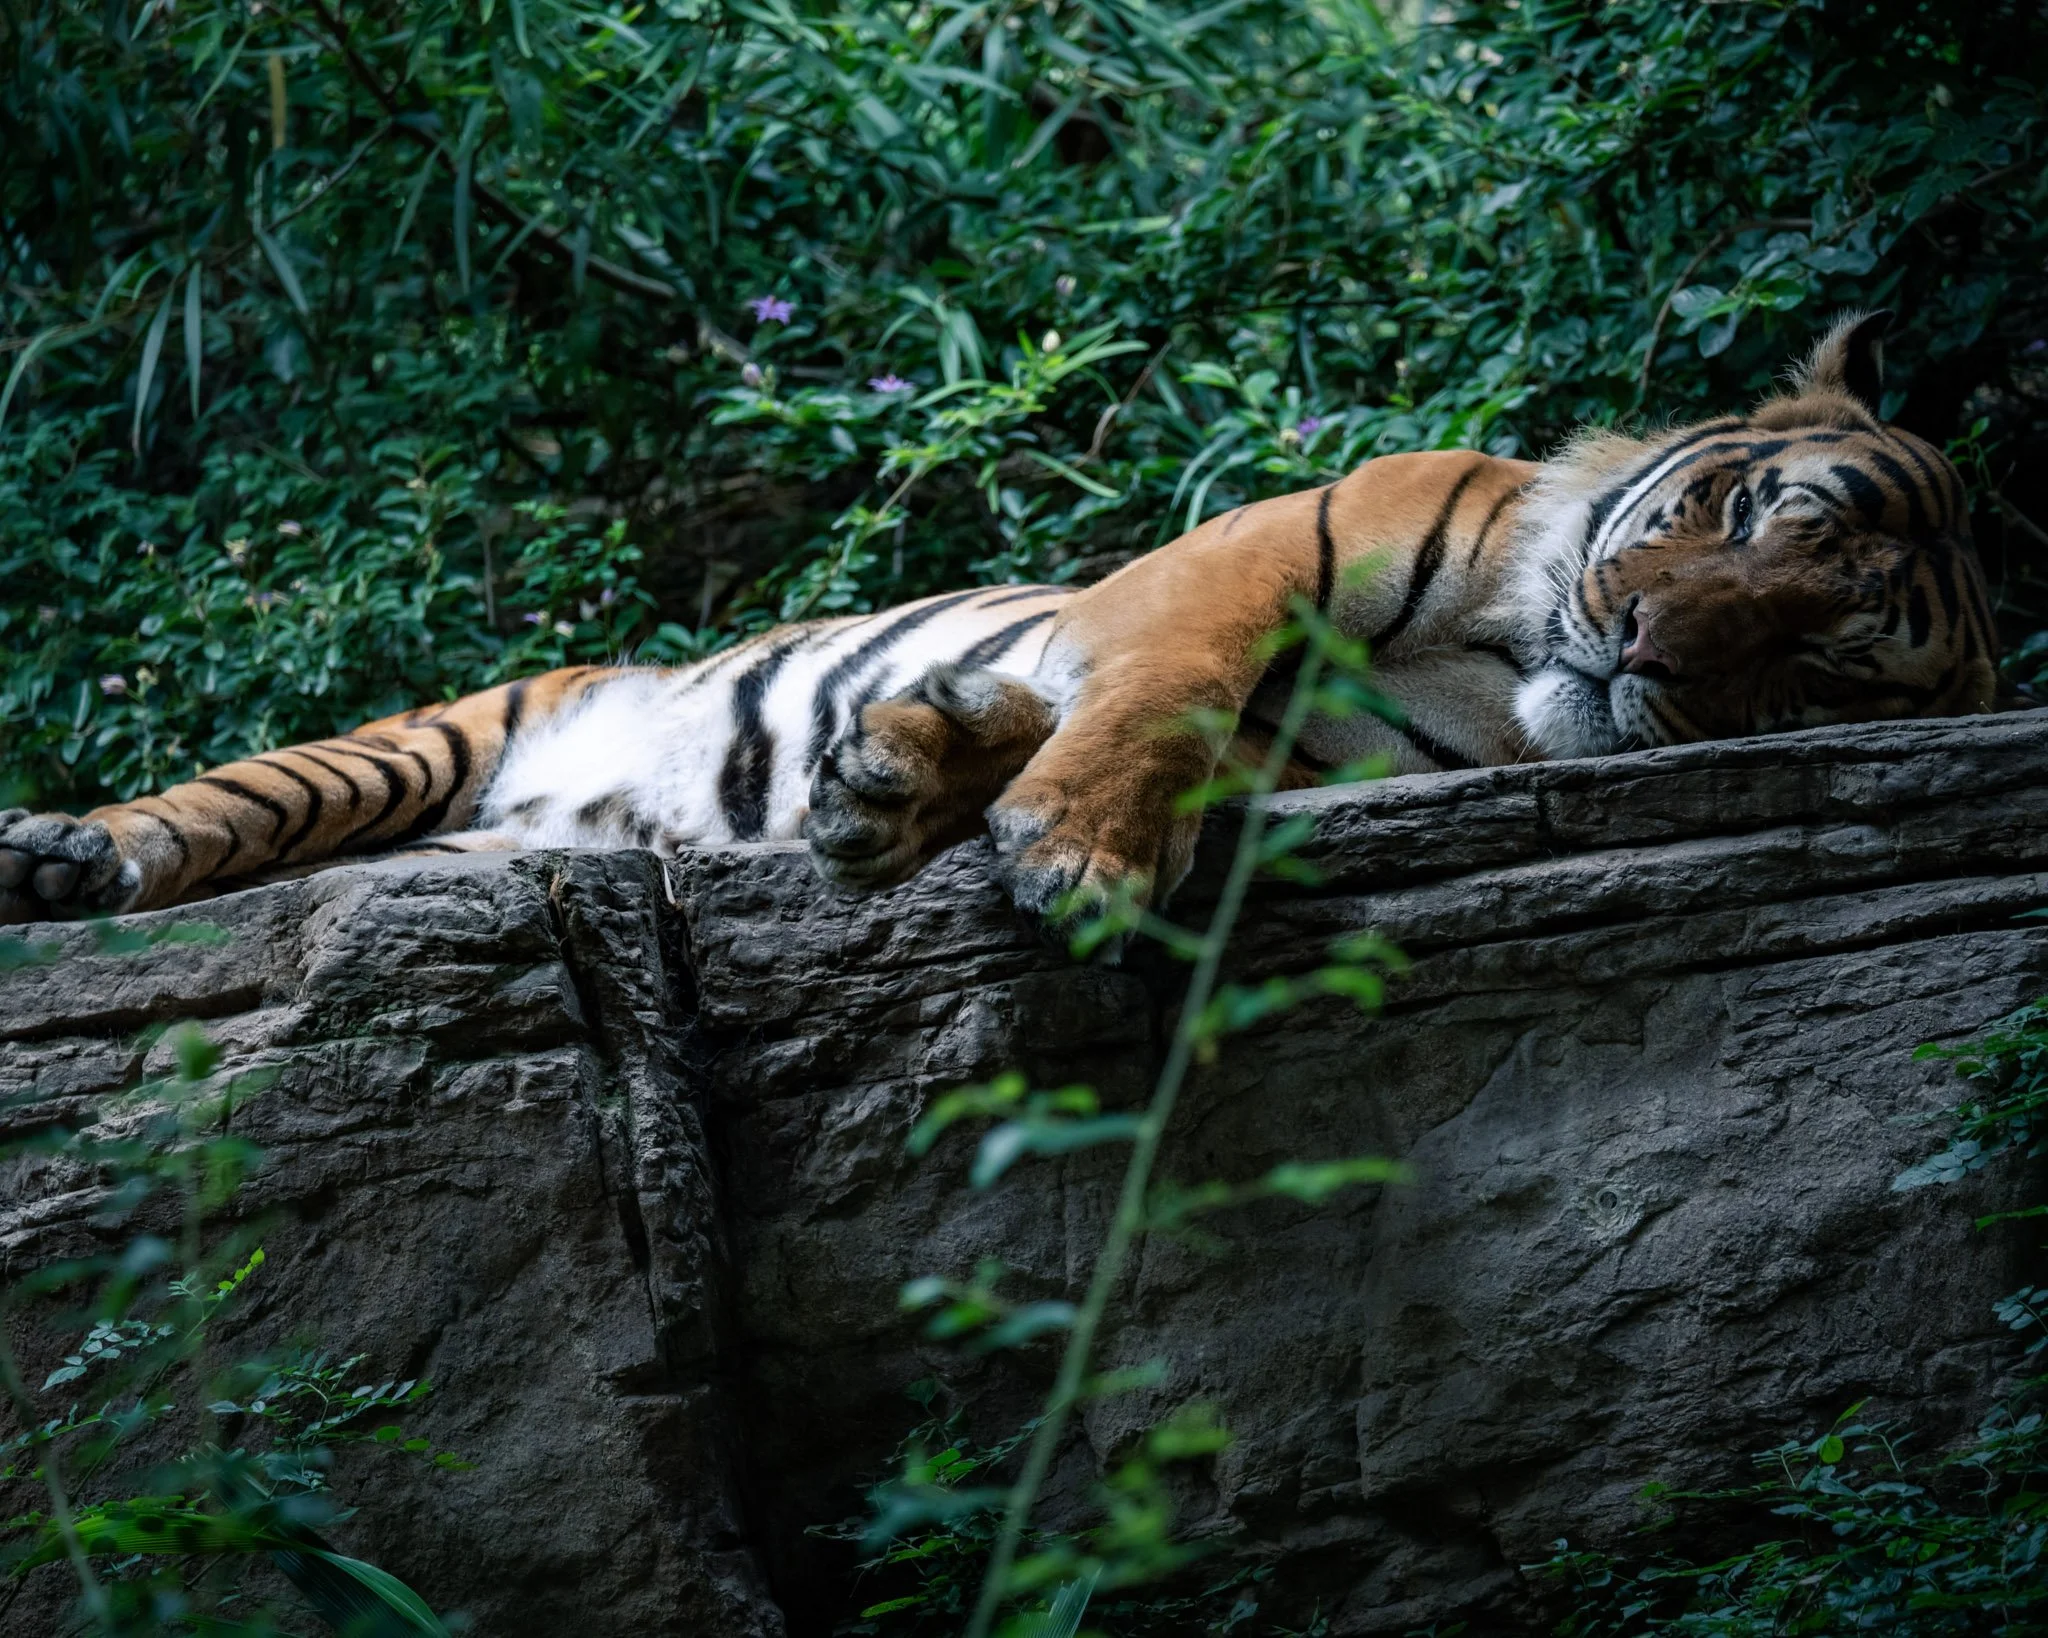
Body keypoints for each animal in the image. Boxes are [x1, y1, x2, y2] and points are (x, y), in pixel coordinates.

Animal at [0, 311, 1998, 928]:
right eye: (1739, 516)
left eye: (1807, 667)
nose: (1648, 650)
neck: (1510, 665)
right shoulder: (1244, 556)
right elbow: (1159, 691)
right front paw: (1074, 850)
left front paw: (902, 777)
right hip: (437, 734)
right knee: (230, 801)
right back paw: (66, 857)